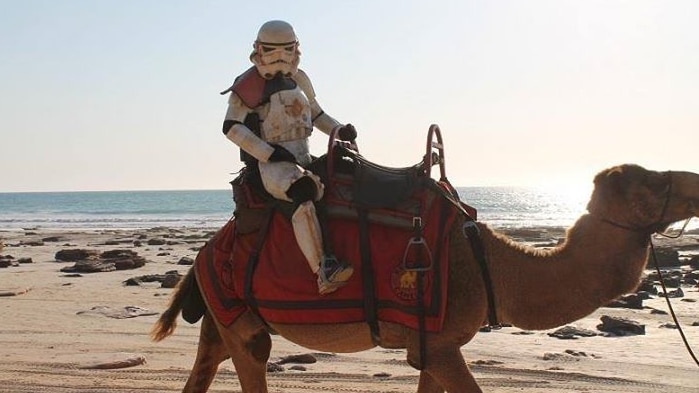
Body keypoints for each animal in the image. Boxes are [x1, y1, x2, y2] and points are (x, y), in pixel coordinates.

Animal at [150, 163, 696, 392]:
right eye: (651, 182)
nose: (694, 182)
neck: (488, 264)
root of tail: (207, 250)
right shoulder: (437, 341)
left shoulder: (434, 344)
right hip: (240, 317)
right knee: (252, 359)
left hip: (222, 314)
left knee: (206, 364)